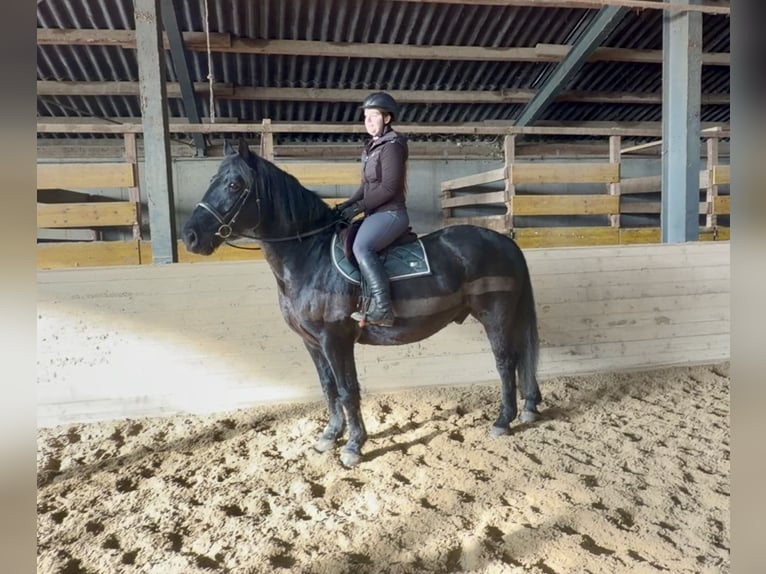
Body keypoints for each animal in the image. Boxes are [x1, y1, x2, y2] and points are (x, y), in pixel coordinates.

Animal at [182, 138, 542, 467]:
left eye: (233, 184)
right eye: (213, 180)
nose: (190, 236)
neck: (308, 257)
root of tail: (504, 243)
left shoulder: (335, 339)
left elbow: (347, 389)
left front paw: (353, 445)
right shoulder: (312, 342)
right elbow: (328, 387)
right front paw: (329, 436)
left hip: (495, 315)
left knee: (506, 362)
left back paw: (503, 420)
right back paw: (528, 409)